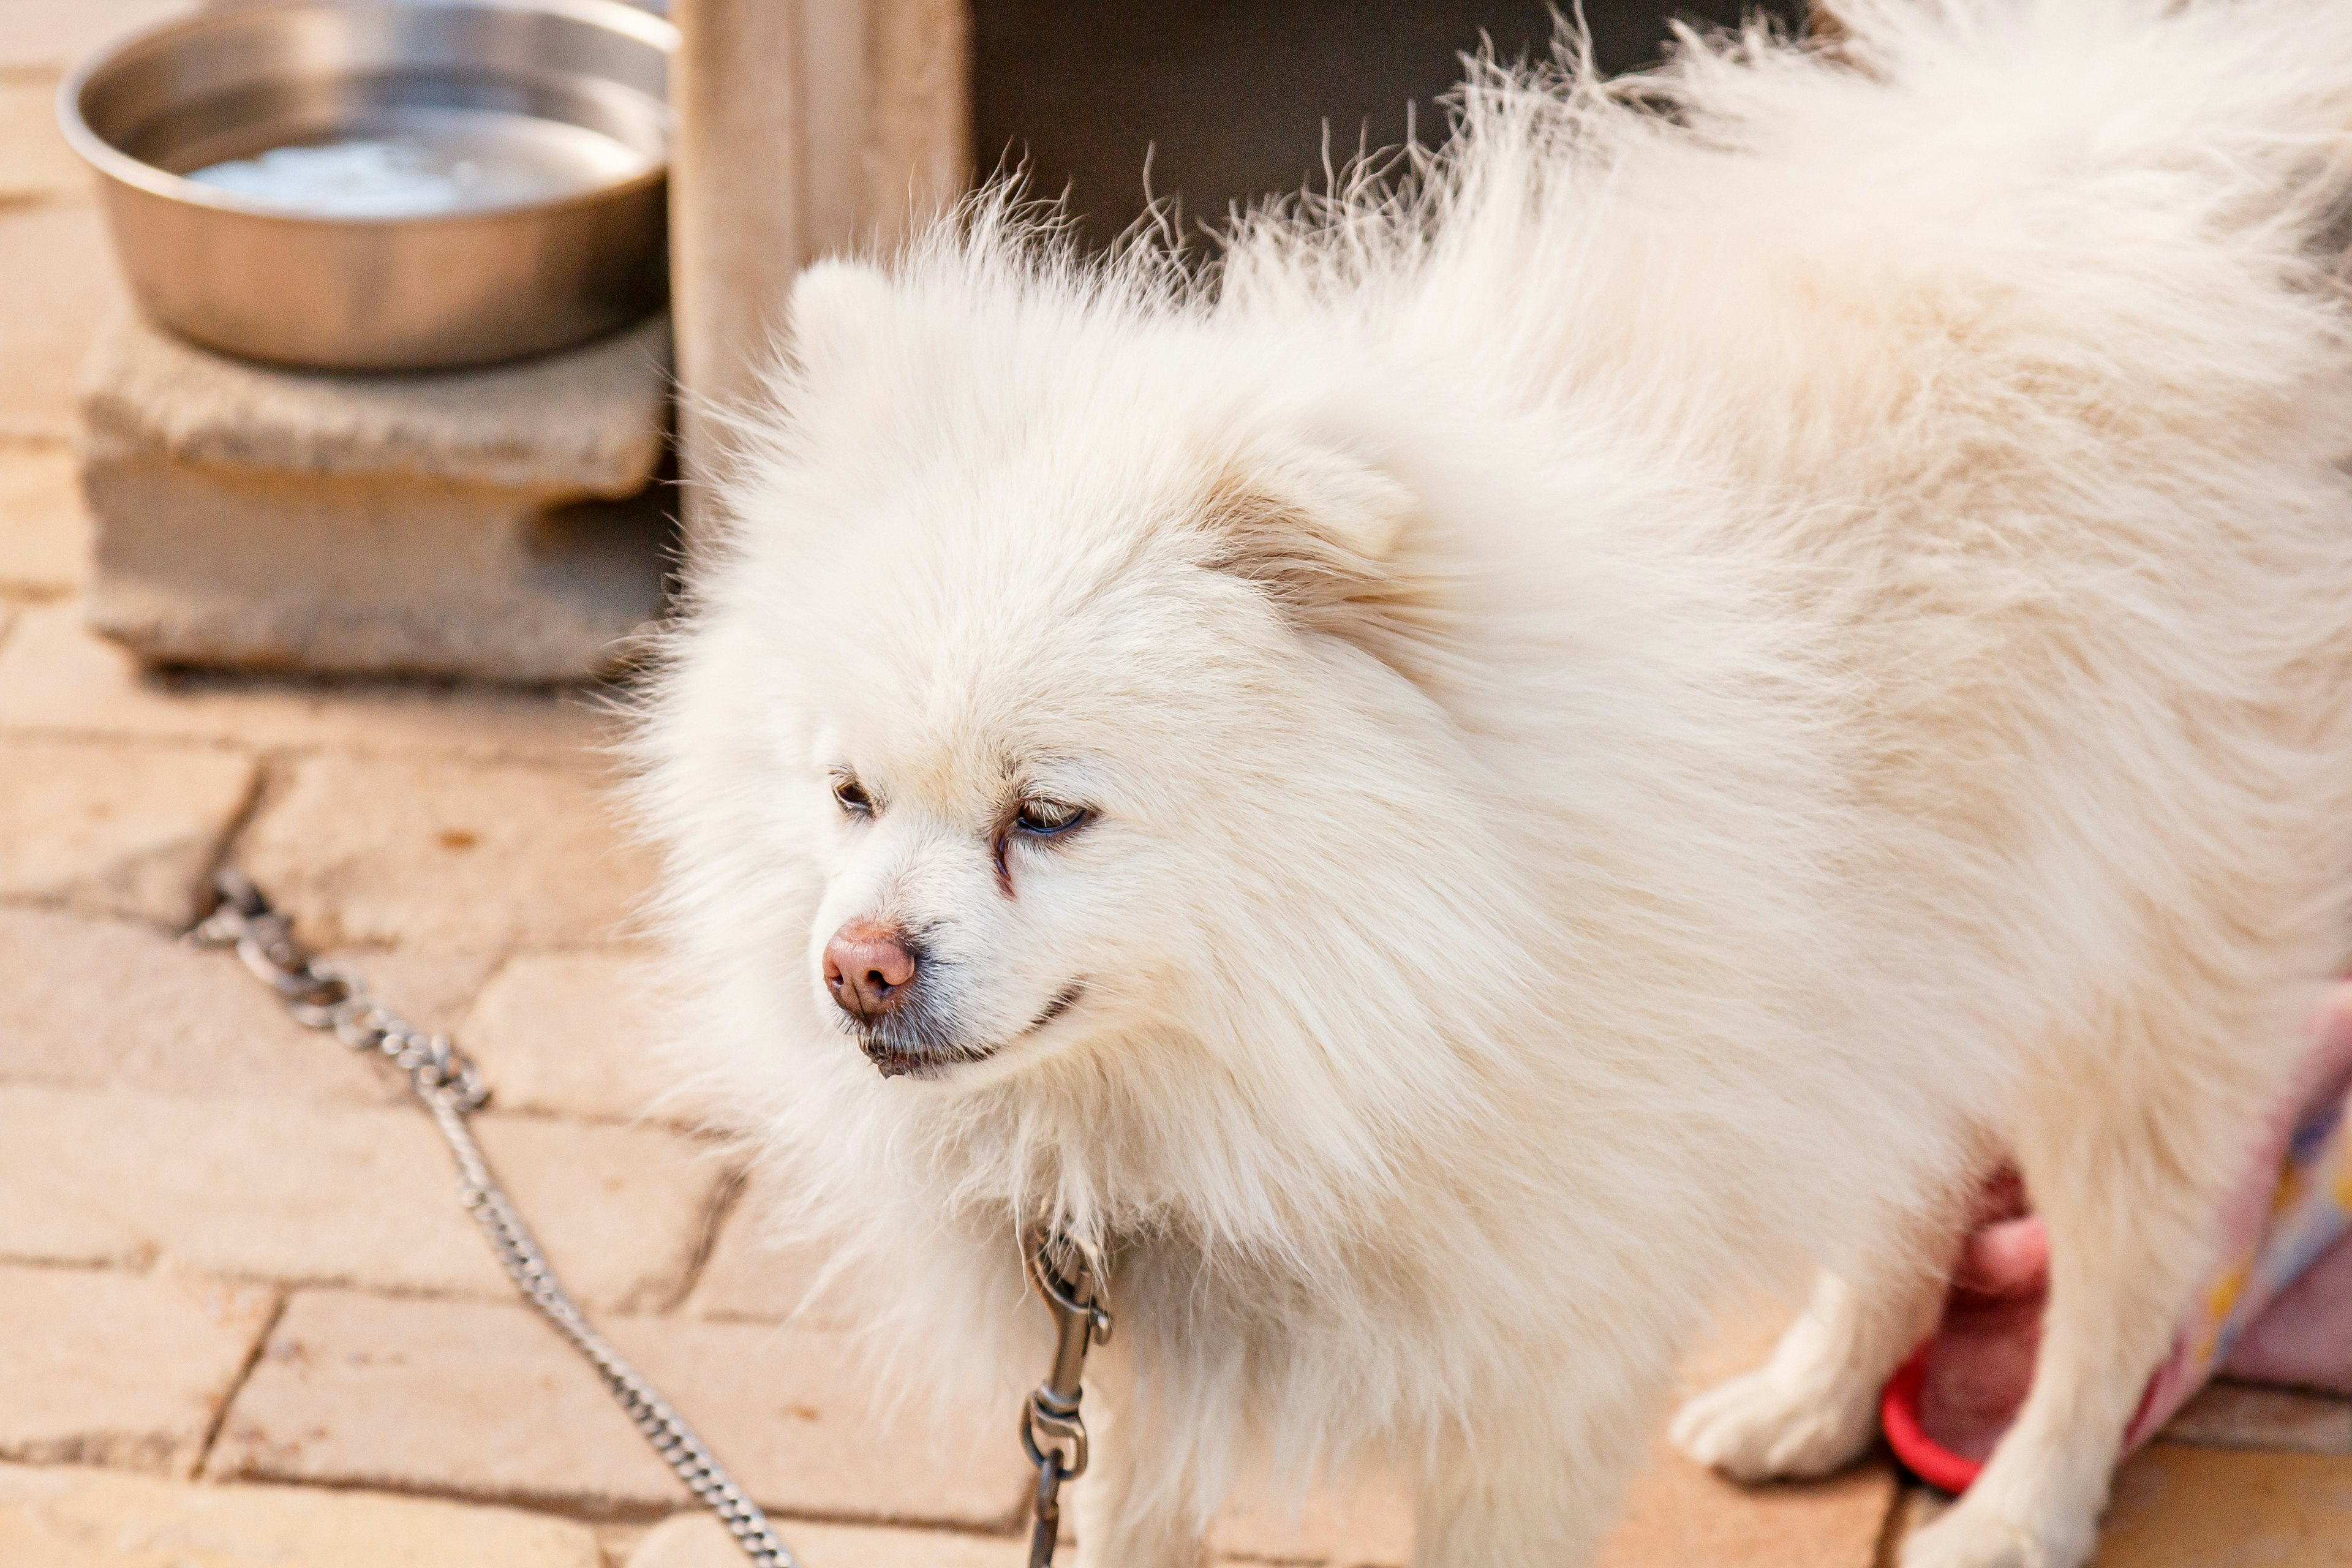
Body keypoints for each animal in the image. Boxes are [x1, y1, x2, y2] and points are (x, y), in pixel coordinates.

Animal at [635, 3, 2352, 1568]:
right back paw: (1809, 1396)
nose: (857, 967)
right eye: (848, 795)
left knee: (2121, 1275)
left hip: (2135, 989)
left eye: (1048, 816)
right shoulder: (1137, 1363)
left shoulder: (1536, 1372)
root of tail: (2127, 173)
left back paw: (2014, 1509)